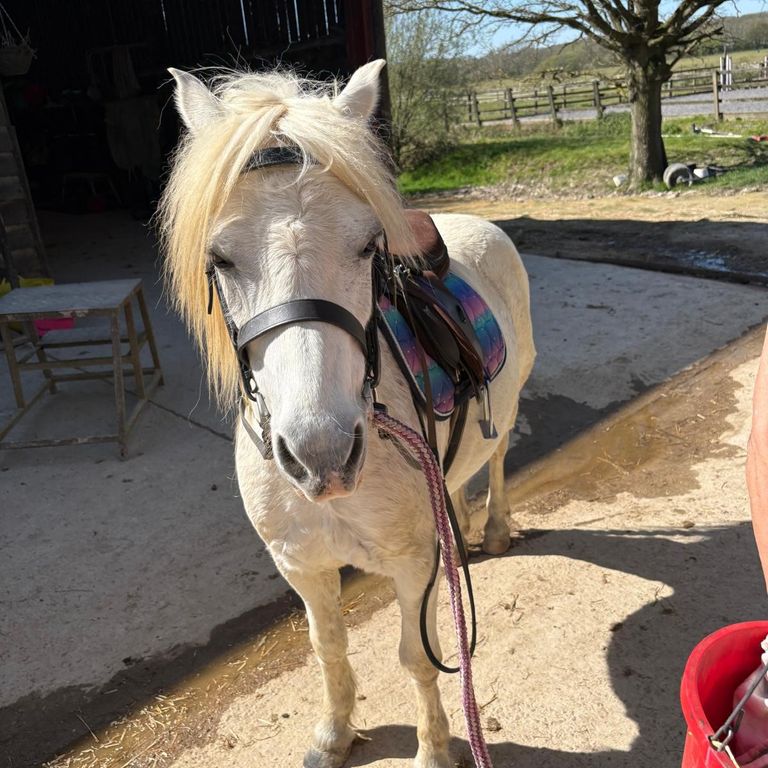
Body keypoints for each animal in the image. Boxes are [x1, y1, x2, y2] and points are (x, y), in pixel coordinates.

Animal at [160, 60, 535, 768]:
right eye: (219, 258)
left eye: (368, 246)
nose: (323, 457)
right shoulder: (302, 565)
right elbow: (327, 648)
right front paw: (333, 734)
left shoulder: (412, 566)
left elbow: (417, 659)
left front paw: (433, 748)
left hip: (513, 395)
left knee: (498, 457)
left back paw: (496, 527)